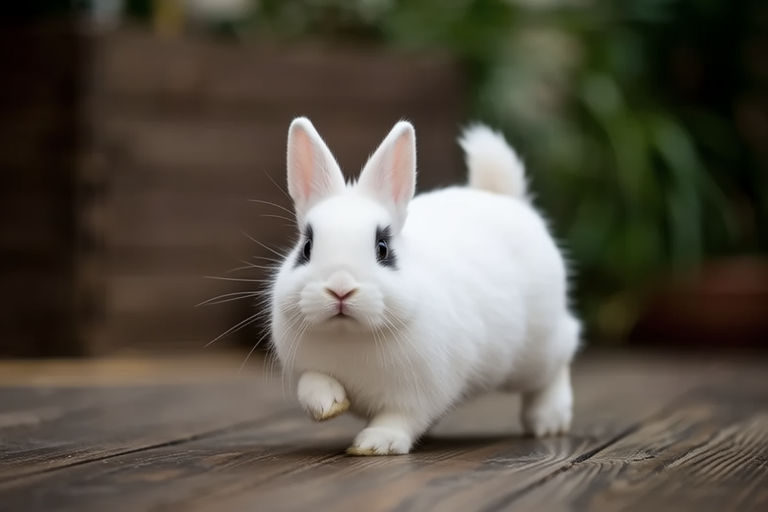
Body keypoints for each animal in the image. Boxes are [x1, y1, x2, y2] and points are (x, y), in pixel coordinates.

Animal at [268, 117, 581, 456]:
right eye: (306, 248)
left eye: (382, 249)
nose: (340, 287)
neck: (349, 335)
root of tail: (506, 198)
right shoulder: (305, 369)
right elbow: (311, 384)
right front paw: (329, 404)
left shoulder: (420, 392)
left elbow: (399, 418)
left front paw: (376, 443)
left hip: (538, 348)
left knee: (560, 358)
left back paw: (549, 421)